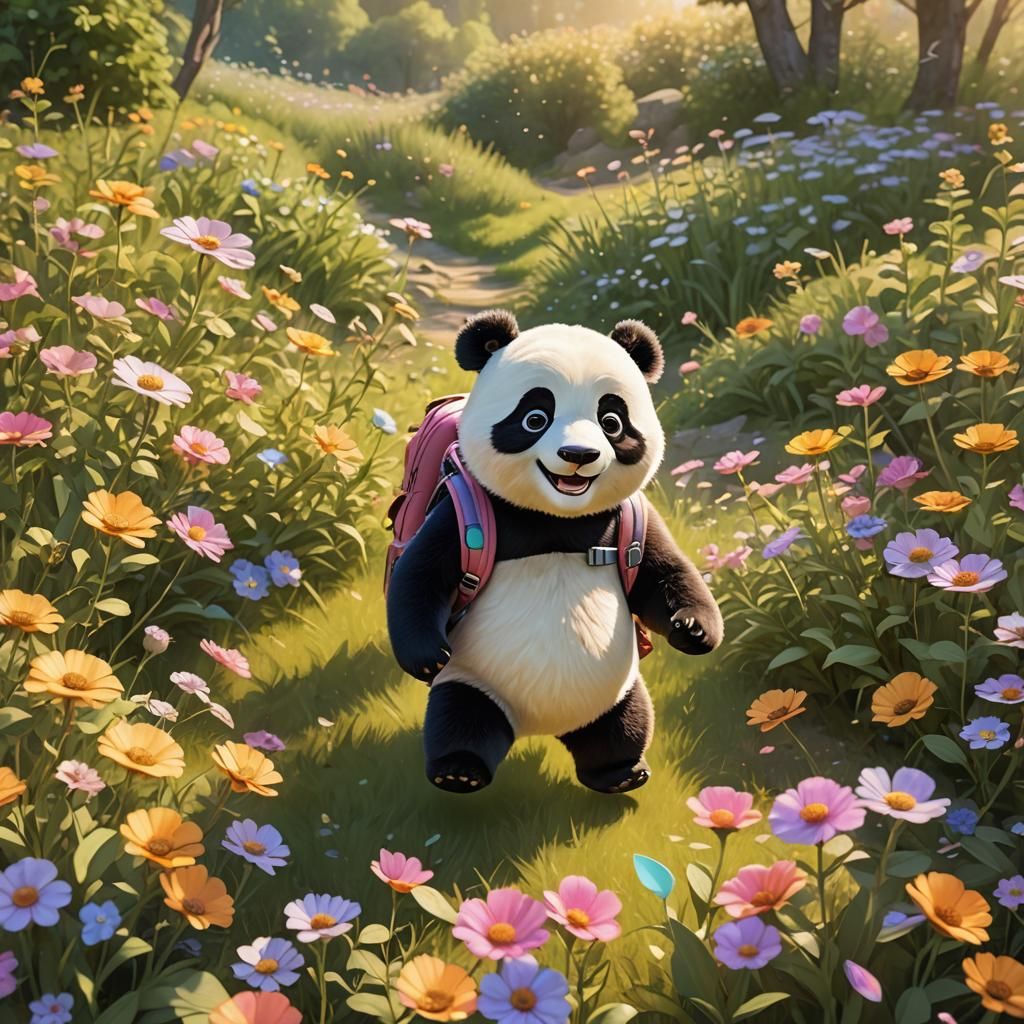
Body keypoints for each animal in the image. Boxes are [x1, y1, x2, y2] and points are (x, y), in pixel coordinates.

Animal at [386, 309, 723, 795]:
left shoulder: (632, 520)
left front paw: (694, 630)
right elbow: (420, 575)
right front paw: (427, 656)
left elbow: (666, 574)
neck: (555, 518)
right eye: (535, 418)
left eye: (612, 422)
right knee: (460, 717)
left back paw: (621, 773)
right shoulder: (464, 512)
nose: (578, 454)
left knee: (624, 724)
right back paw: (459, 772)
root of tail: (538, 728)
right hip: (475, 679)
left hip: (616, 688)